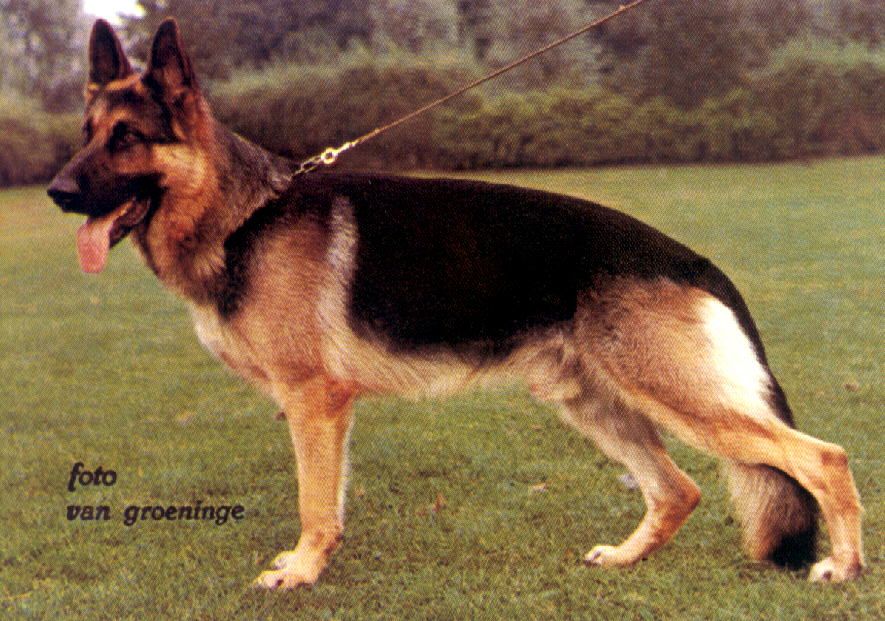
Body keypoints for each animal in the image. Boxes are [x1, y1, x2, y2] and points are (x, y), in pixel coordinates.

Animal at [47, 18, 864, 588]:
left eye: (126, 138)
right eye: (87, 135)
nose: (55, 191)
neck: (243, 214)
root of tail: (693, 258)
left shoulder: (314, 401)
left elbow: (316, 502)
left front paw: (302, 572)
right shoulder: (316, 407)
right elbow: (327, 500)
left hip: (679, 397)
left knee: (823, 457)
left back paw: (844, 567)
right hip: (595, 402)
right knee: (679, 489)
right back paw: (626, 558)